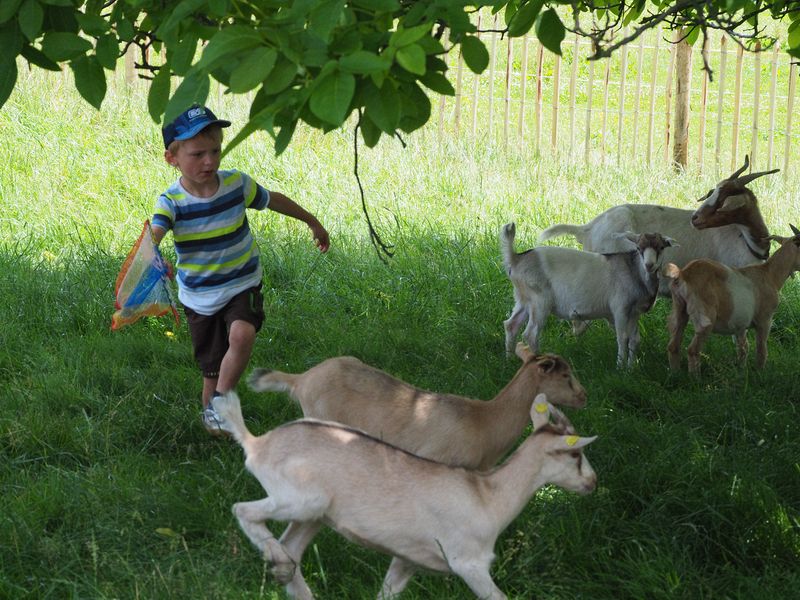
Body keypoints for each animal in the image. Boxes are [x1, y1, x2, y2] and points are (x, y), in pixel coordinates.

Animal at [209, 392, 596, 596]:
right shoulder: (468, 562)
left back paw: (287, 573)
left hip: (313, 515)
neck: (488, 496)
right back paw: (279, 563)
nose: (592, 482)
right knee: (243, 510)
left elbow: (387, 592)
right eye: (575, 455)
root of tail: (257, 443)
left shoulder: (409, 558)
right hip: (302, 499)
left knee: (291, 547)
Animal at [500, 223, 676, 368]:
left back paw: (509, 361)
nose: (649, 265)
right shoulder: (620, 308)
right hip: (539, 301)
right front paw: (620, 368)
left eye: (661, 247)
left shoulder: (634, 313)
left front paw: (631, 368)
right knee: (531, 334)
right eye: (639, 248)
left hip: (524, 299)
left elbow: (634, 340)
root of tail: (516, 258)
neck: (635, 272)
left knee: (511, 325)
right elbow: (622, 337)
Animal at [664, 225, 800, 372]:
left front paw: (742, 371)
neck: (770, 275)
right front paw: (760, 372)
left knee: (673, 345)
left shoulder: (740, 325)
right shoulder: (765, 319)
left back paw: (675, 373)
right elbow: (761, 351)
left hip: (679, 308)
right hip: (704, 316)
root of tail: (682, 274)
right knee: (692, 350)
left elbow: (743, 349)